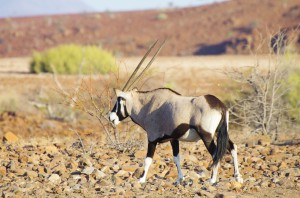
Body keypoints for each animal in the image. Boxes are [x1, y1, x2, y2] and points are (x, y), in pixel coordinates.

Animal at [109, 40, 243, 184]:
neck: (147, 104)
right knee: (233, 147)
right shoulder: (174, 138)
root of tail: (220, 106)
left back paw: (212, 180)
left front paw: (141, 179)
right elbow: (176, 157)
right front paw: (180, 179)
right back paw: (238, 177)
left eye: (119, 99)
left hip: (207, 136)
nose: (111, 117)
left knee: (215, 154)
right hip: (220, 132)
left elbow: (148, 160)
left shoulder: (152, 138)